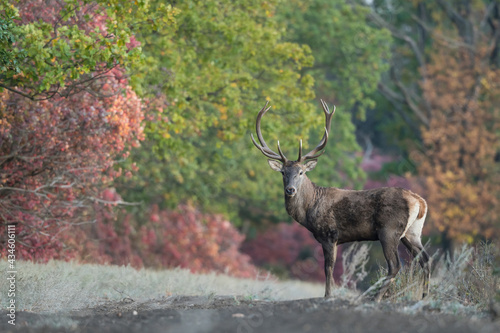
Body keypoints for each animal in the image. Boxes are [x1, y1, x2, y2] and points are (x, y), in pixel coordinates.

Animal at [252, 99, 432, 300]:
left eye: (301, 172)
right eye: (283, 172)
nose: (290, 189)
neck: (309, 210)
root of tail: (420, 202)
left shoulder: (329, 234)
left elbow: (328, 269)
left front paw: (328, 296)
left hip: (389, 230)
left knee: (395, 265)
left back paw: (376, 298)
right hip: (412, 232)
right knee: (425, 259)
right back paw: (424, 296)